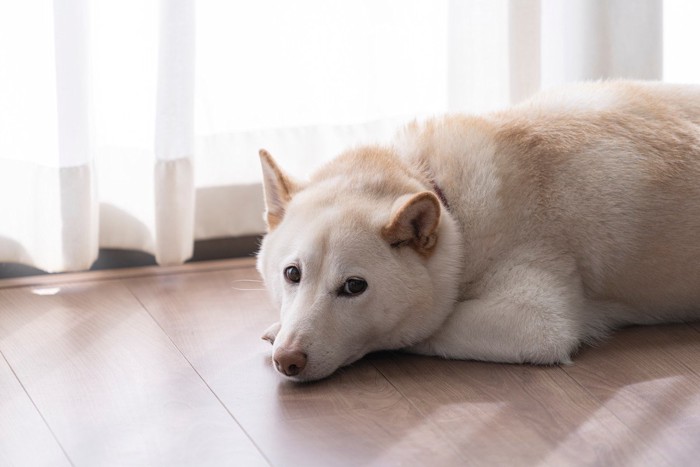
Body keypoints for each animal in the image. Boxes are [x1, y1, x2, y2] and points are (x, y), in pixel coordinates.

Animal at [254, 79, 700, 380]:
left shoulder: (536, 319)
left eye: (353, 287)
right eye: (292, 274)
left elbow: (429, 325)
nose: (288, 359)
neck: (446, 197)